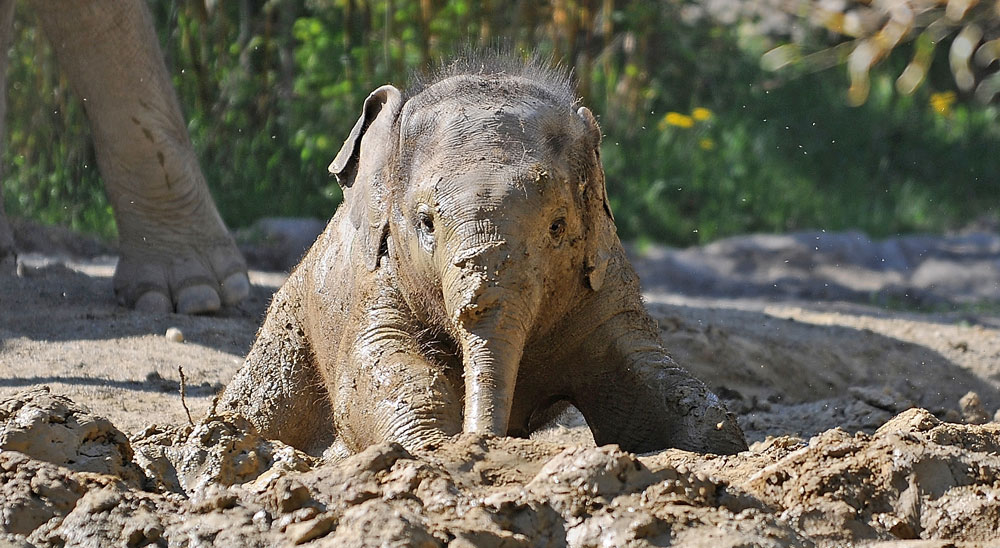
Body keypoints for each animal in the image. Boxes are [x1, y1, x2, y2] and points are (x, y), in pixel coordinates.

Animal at [221, 57, 752, 456]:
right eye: (426, 223)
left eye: (558, 226)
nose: (482, 439)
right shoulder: (378, 280)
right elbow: (379, 369)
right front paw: (431, 448)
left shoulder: (606, 284)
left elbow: (660, 381)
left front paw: (716, 445)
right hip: (292, 313)